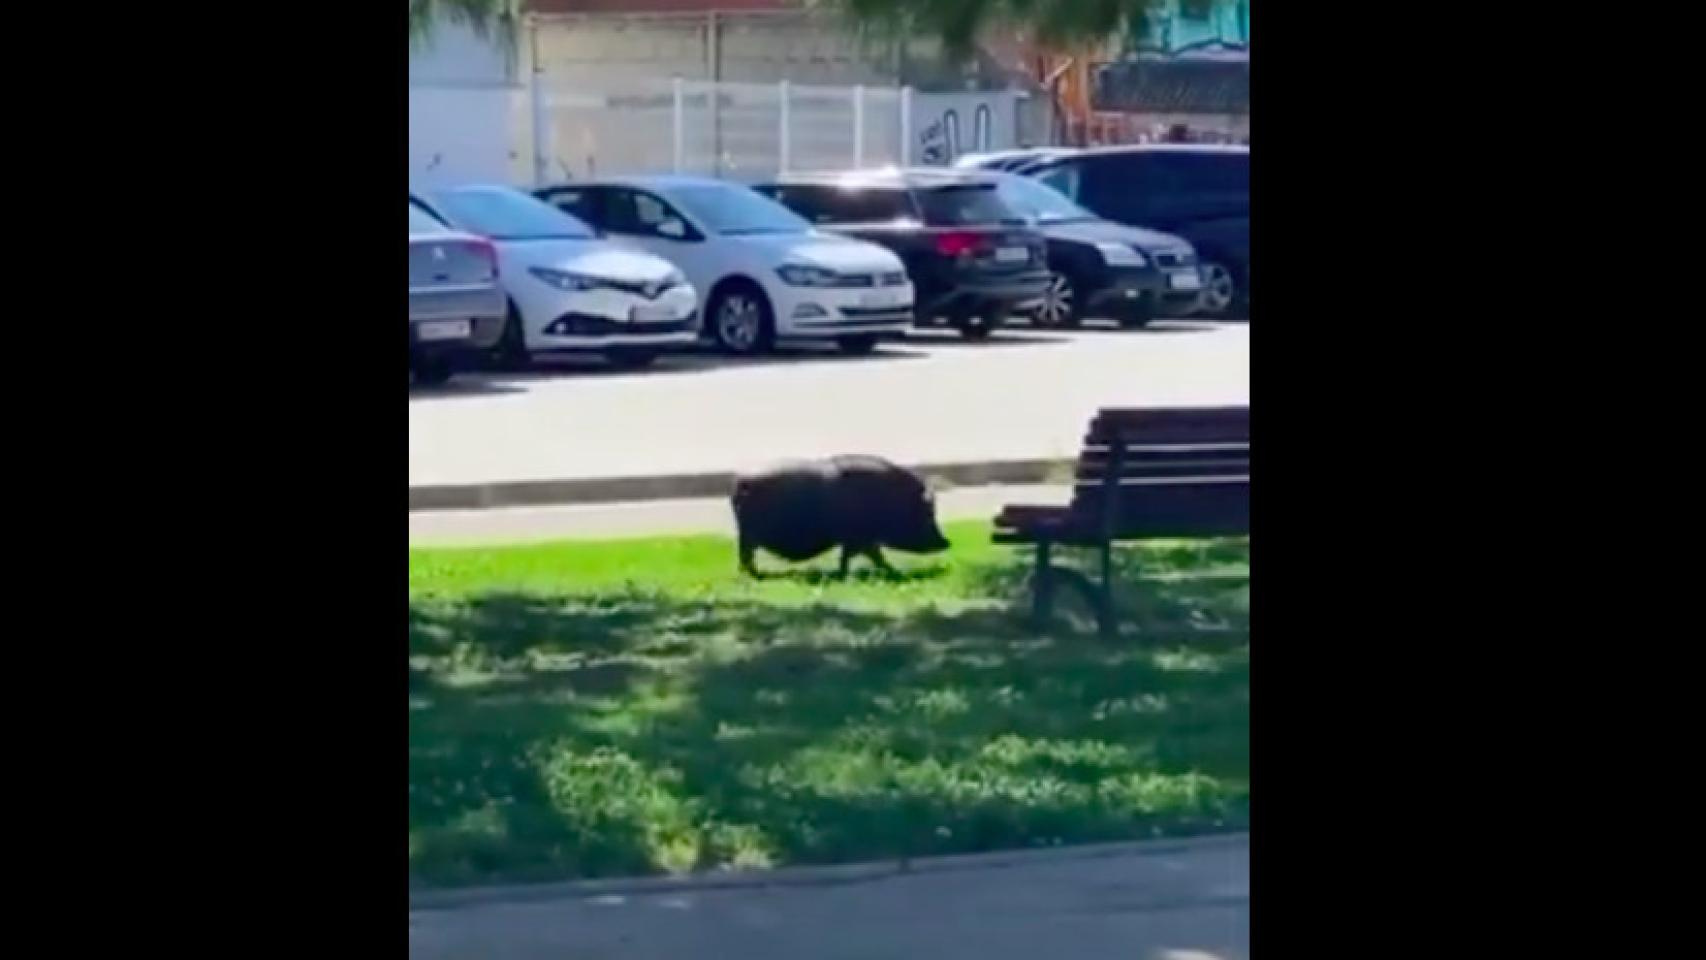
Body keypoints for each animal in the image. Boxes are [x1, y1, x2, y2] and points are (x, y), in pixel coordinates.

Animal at [731, 455, 951, 577]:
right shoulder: (860, 538)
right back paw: (755, 575)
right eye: (928, 515)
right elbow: (868, 556)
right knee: (746, 556)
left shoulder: (858, 540)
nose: (947, 543)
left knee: (746, 557)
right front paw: (892, 572)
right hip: (748, 535)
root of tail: (741, 483)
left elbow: (858, 556)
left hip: (747, 536)